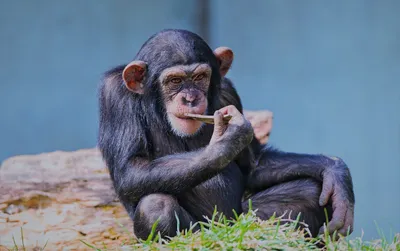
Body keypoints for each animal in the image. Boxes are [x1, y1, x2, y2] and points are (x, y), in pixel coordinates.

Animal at [98, 28, 354, 239]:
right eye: (175, 80)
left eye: (200, 77)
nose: (190, 98)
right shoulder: (114, 97)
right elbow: (131, 168)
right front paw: (228, 140)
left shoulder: (229, 93)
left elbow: (253, 164)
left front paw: (335, 171)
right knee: (155, 205)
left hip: (241, 219)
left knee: (309, 192)